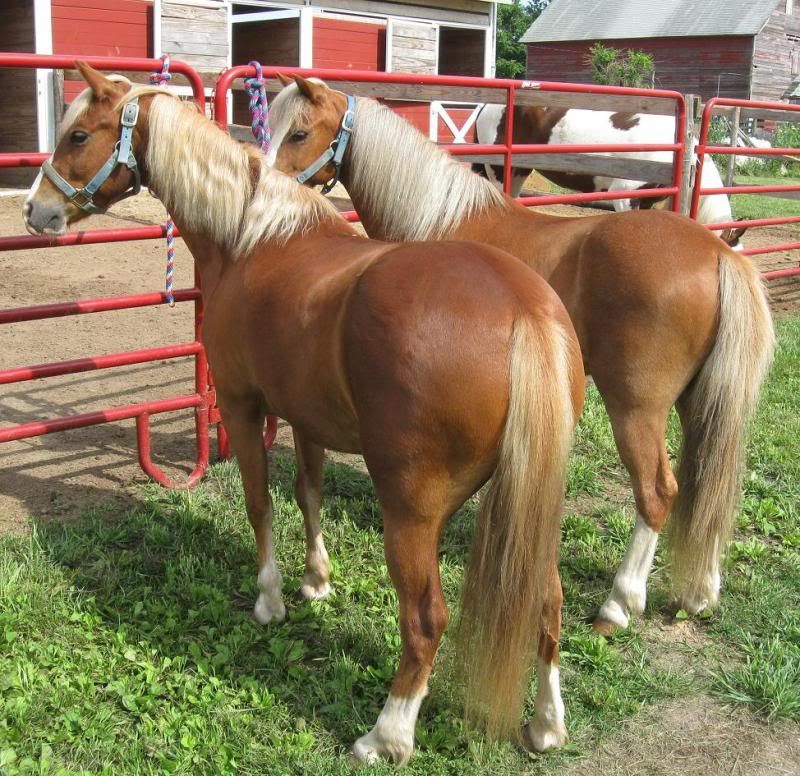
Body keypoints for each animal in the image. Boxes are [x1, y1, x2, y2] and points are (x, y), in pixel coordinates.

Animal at [23, 62, 586, 765]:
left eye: (77, 135)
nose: (35, 209)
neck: (251, 237)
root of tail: (522, 309)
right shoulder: (305, 416)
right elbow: (308, 492)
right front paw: (317, 580)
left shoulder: (241, 406)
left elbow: (260, 502)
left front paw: (271, 600)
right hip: (528, 502)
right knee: (548, 602)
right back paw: (546, 725)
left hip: (411, 510)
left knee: (425, 620)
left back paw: (387, 735)